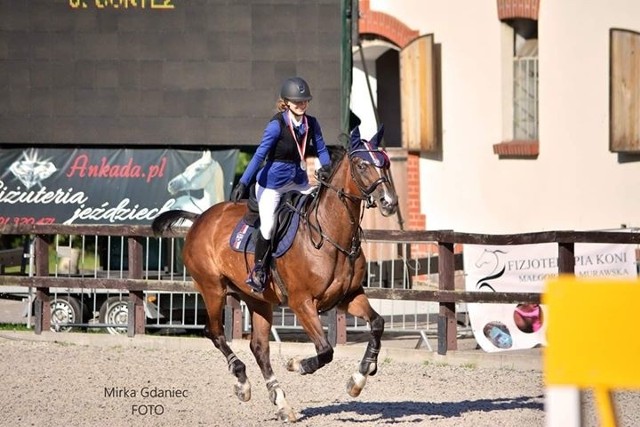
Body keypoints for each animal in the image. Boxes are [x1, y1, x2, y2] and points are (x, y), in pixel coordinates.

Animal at [152, 125, 398, 422]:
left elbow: (377, 324)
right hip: (212, 288)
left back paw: (281, 402)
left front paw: (359, 378)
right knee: (215, 332)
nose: (389, 202)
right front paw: (297, 364)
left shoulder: (348, 297)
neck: (329, 234)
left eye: (386, 163)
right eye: (362, 165)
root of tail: (200, 219)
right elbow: (325, 350)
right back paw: (242, 383)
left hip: (258, 299)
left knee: (259, 348)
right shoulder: (302, 303)